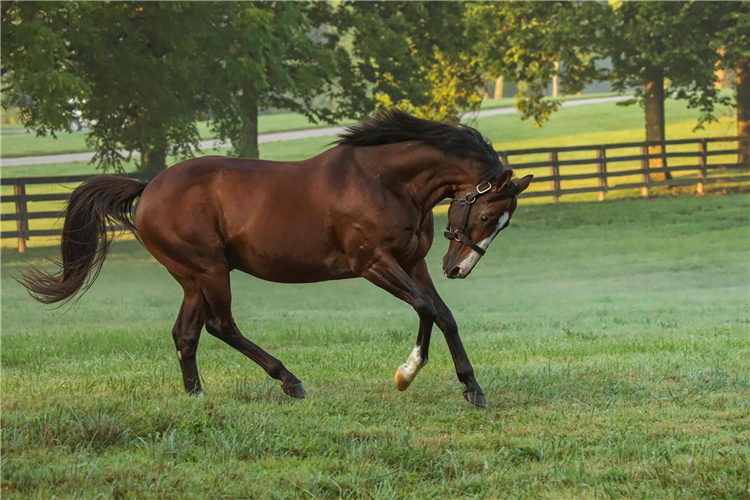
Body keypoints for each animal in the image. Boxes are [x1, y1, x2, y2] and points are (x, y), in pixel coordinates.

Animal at [19, 109, 536, 406]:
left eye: (502, 222)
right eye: (486, 215)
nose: (459, 268)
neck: (387, 182)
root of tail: (148, 189)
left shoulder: (413, 263)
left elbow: (442, 314)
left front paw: (467, 387)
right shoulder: (373, 264)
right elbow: (427, 307)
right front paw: (407, 374)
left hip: (192, 278)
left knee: (186, 334)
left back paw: (197, 396)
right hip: (210, 270)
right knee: (220, 326)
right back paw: (289, 381)